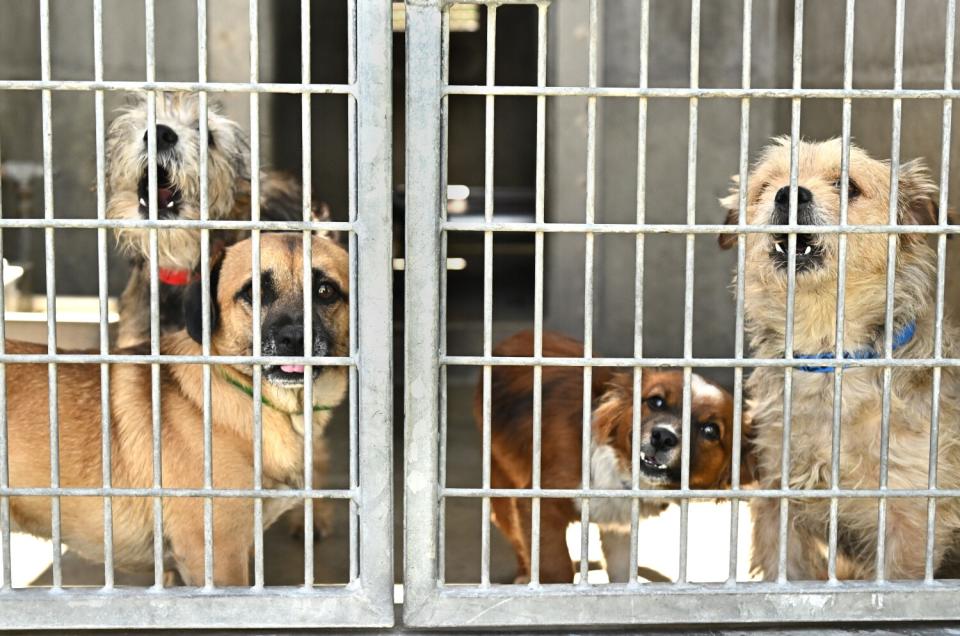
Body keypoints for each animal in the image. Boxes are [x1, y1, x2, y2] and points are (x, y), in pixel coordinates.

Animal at [480, 330, 744, 584]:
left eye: (710, 430)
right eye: (656, 401)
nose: (662, 437)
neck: (620, 471)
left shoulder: (619, 530)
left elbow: (622, 573)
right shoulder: (537, 506)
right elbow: (556, 568)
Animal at [720, 138, 960, 580]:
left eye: (848, 186)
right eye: (765, 187)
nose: (789, 194)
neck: (829, 357)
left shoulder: (910, 518)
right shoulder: (778, 500)